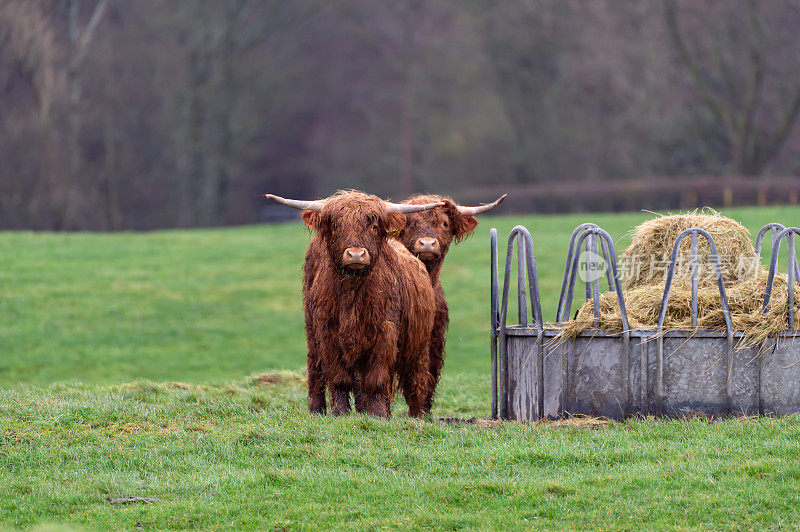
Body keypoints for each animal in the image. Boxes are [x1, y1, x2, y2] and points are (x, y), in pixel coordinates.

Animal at [268, 189, 444, 418]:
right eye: (336, 225)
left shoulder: (385, 332)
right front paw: (340, 412)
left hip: (419, 345)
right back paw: (317, 410)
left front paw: (378, 414)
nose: (356, 254)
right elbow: (339, 378)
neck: (352, 293)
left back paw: (417, 416)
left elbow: (376, 379)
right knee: (315, 370)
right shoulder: (328, 332)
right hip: (312, 333)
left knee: (416, 379)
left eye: (374, 226)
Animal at [396, 193, 506, 410]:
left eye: (444, 223)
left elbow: (428, 375)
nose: (427, 244)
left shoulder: (435, 337)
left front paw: (424, 411)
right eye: (411, 223)